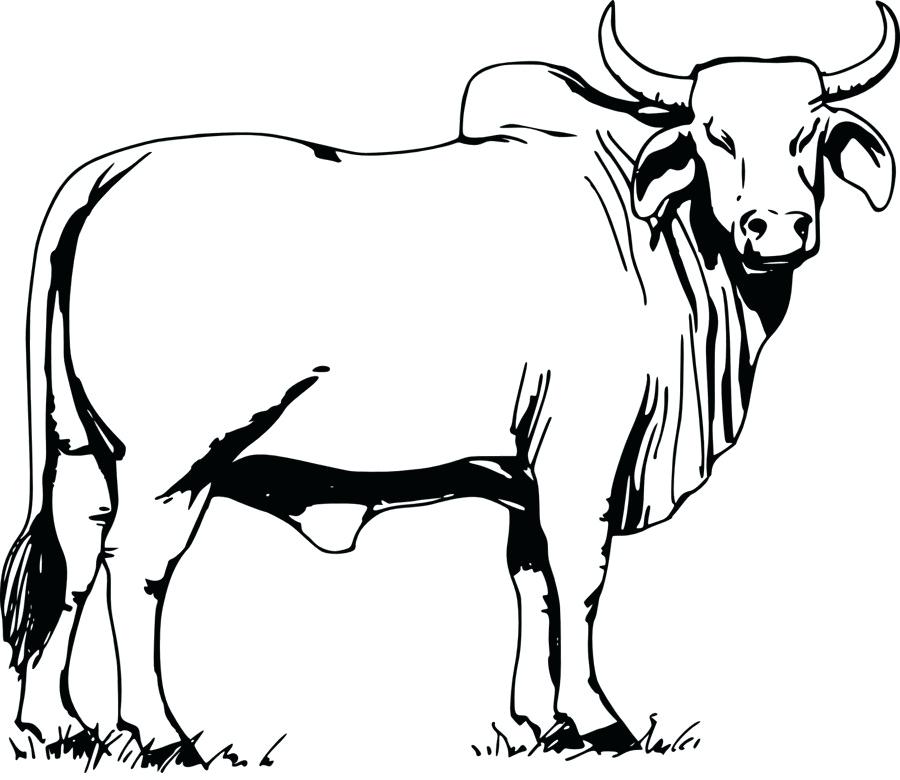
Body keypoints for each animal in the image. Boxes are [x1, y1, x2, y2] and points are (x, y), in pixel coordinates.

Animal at [1, 1, 896, 766]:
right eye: (714, 134)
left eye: (811, 131)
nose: (776, 228)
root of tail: (114, 169)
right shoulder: (583, 453)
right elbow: (581, 577)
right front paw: (598, 717)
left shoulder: (525, 472)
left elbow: (531, 580)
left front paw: (541, 721)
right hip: (174, 460)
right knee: (134, 570)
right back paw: (159, 733)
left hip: (79, 449)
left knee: (69, 562)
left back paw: (57, 725)